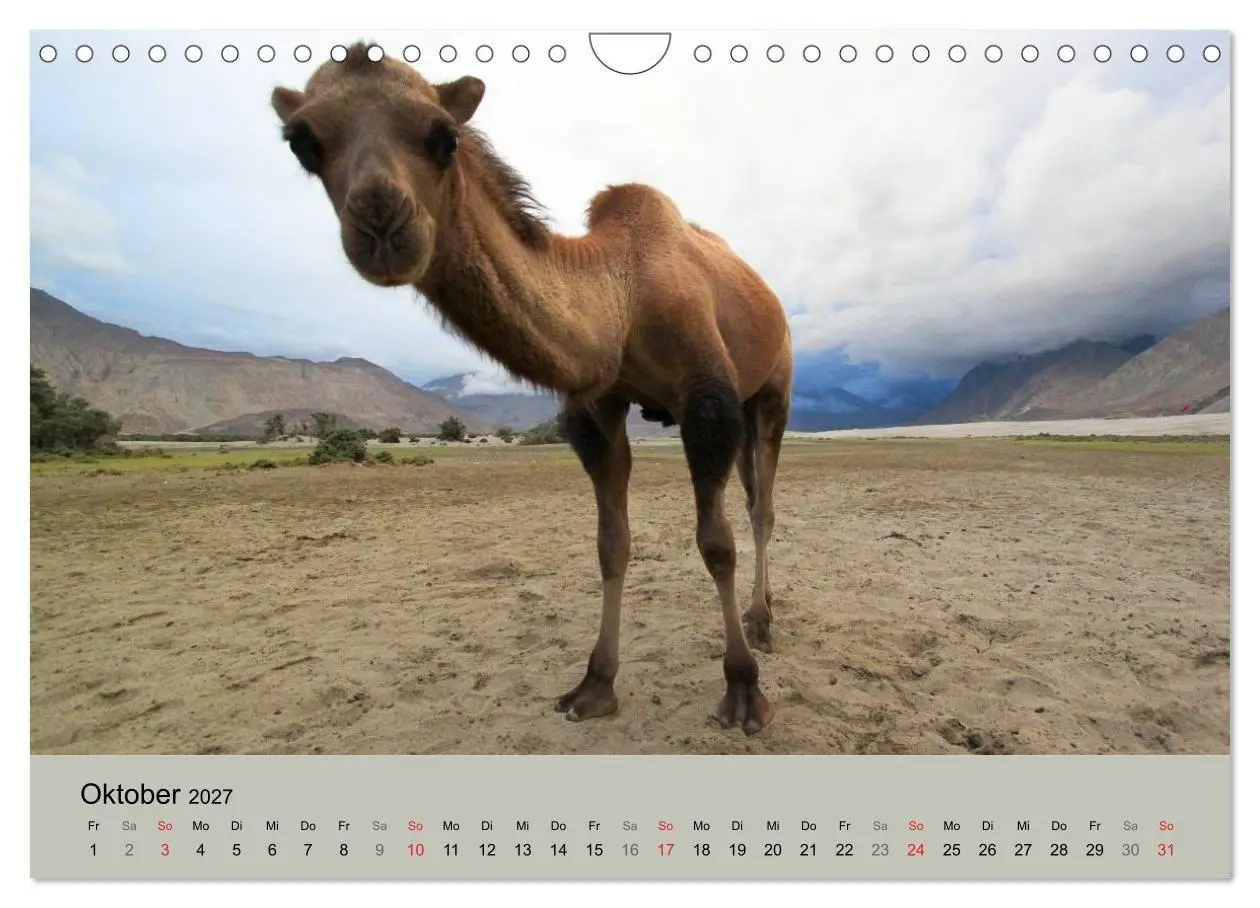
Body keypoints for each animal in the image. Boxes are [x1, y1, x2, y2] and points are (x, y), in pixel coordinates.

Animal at [270, 43, 793, 735]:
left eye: (444, 136)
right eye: (303, 142)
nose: (381, 221)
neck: (621, 297)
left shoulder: (706, 400)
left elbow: (717, 543)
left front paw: (742, 690)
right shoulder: (596, 407)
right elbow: (610, 544)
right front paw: (594, 684)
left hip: (773, 389)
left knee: (762, 507)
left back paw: (762, 622)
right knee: (754, 494)